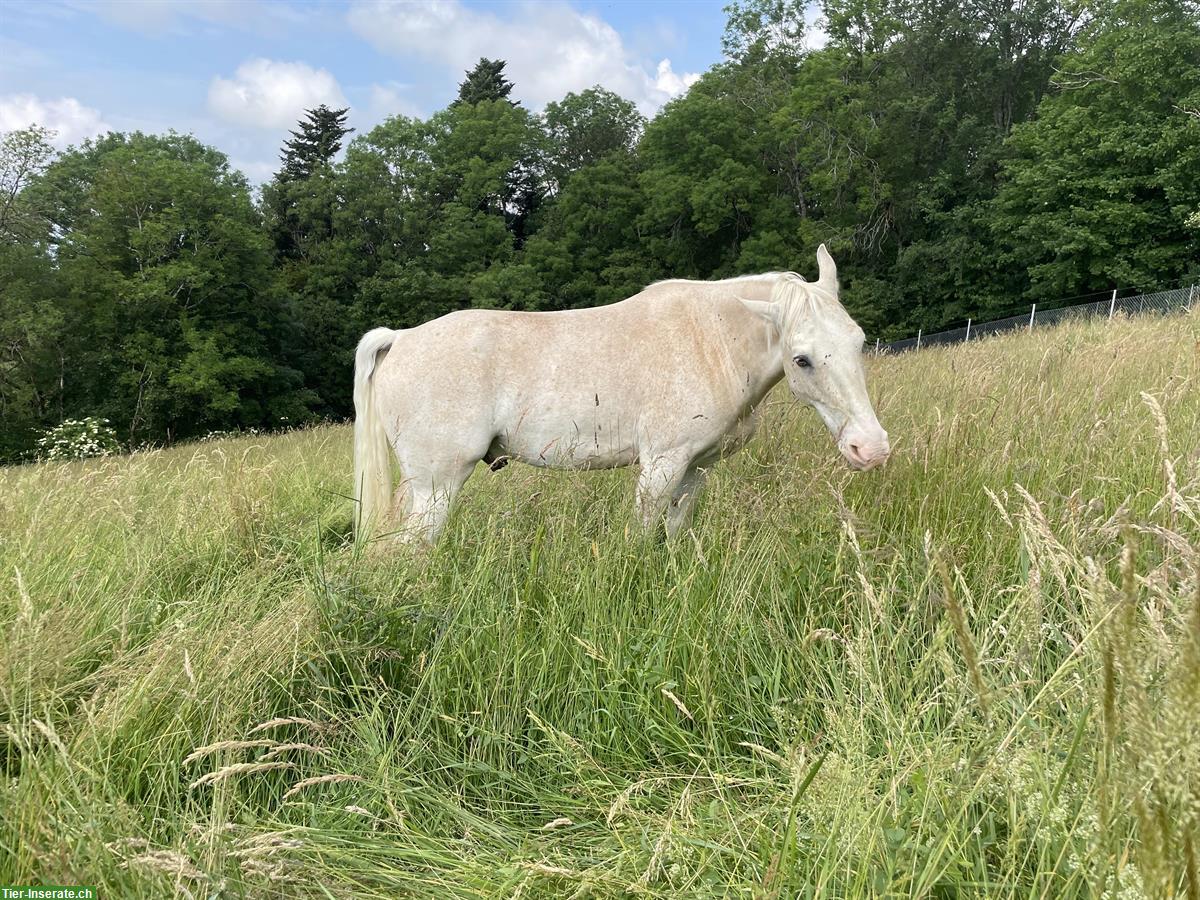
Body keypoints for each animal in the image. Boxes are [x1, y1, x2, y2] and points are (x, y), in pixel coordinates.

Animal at [350, 243, 888, 547]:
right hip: (437, 488)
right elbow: (643, 535)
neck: (712, 340)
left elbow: (674, 532)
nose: (871, 449)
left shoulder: (695, 470)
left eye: (858, 340)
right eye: (802, 359)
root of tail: (401, 337)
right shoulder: (662, 465)